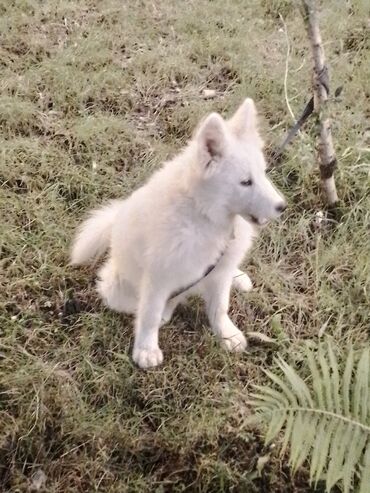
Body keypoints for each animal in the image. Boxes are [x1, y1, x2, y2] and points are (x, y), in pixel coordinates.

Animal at [72, 99, 286, 366]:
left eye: (263, 173)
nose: (282, 206)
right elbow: (150, 314)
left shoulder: (218, 272)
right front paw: (146, 349)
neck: (203, 214)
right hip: (117, 288)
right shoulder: (159, 277)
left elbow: (220, 307)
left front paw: (226, 334)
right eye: (246, 182)